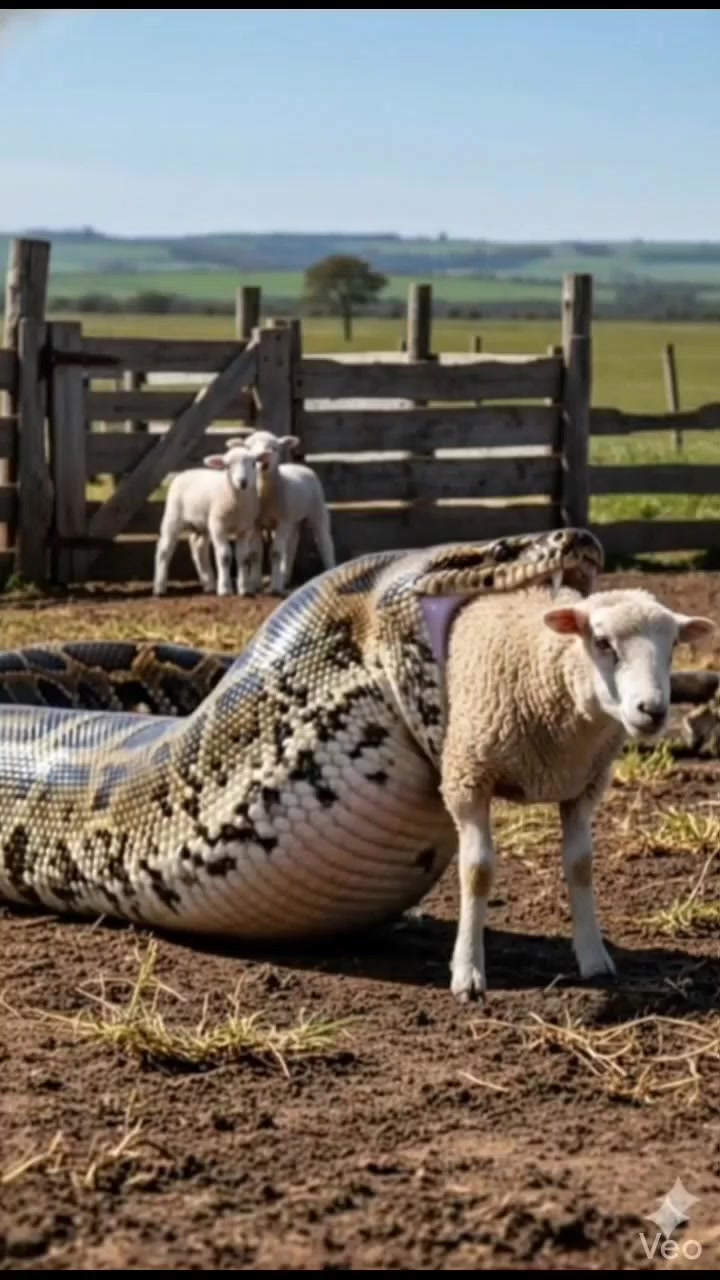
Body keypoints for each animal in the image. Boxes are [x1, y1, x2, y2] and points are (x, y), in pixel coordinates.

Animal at [152, 443, 268, 598]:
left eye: (254, 463)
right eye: (227, 465)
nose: (243, 482)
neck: (237, 504)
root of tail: (183, 473)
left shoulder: (244, 529)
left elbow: (243, 558)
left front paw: (244, 589)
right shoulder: (218, 526)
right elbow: (224, 556)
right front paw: (224, 589)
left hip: (202, 524)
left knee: (198, 548)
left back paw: (208, 583)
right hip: (173, 516)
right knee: (164, 550)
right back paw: (159, 587)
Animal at [430, 583, 715, 1002]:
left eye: (675, 643)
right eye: (602, 642)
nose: (653, 711)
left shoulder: (584, 789)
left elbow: (581, 866)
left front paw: (594, 957)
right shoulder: (469, 781)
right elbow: (477, 872)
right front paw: (467, 972)